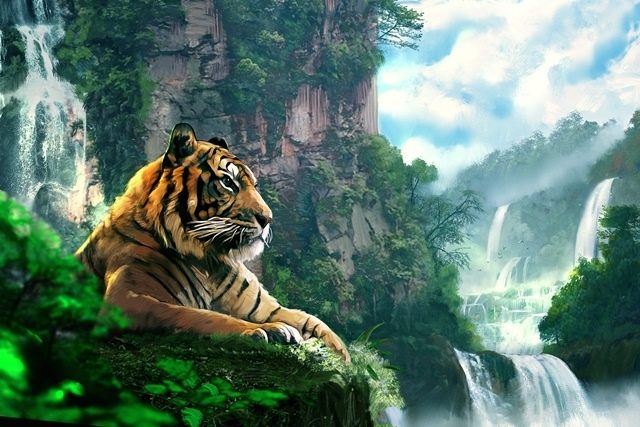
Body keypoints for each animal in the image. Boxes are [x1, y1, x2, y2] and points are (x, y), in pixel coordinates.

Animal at [75, 123, 350, 362]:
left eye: (255, 185)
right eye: (228, 182)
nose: (268, 219)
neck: (208, 258)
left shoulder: (264, 308)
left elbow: (314, 323)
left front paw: (345, 360)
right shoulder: (127, 299)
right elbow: (200, 316)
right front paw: (268, 330)